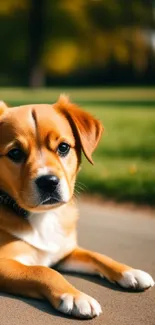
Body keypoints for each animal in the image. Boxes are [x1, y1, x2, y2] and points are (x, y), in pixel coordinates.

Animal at [0, 95, 154, 316]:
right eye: (15, 153)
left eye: (63, 147)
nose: (48, 182)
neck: (43, 217)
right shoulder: (4, 264)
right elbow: (43, 270)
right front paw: (75, 296)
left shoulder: (64, 252)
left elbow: (97, 256)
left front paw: (129, 271)